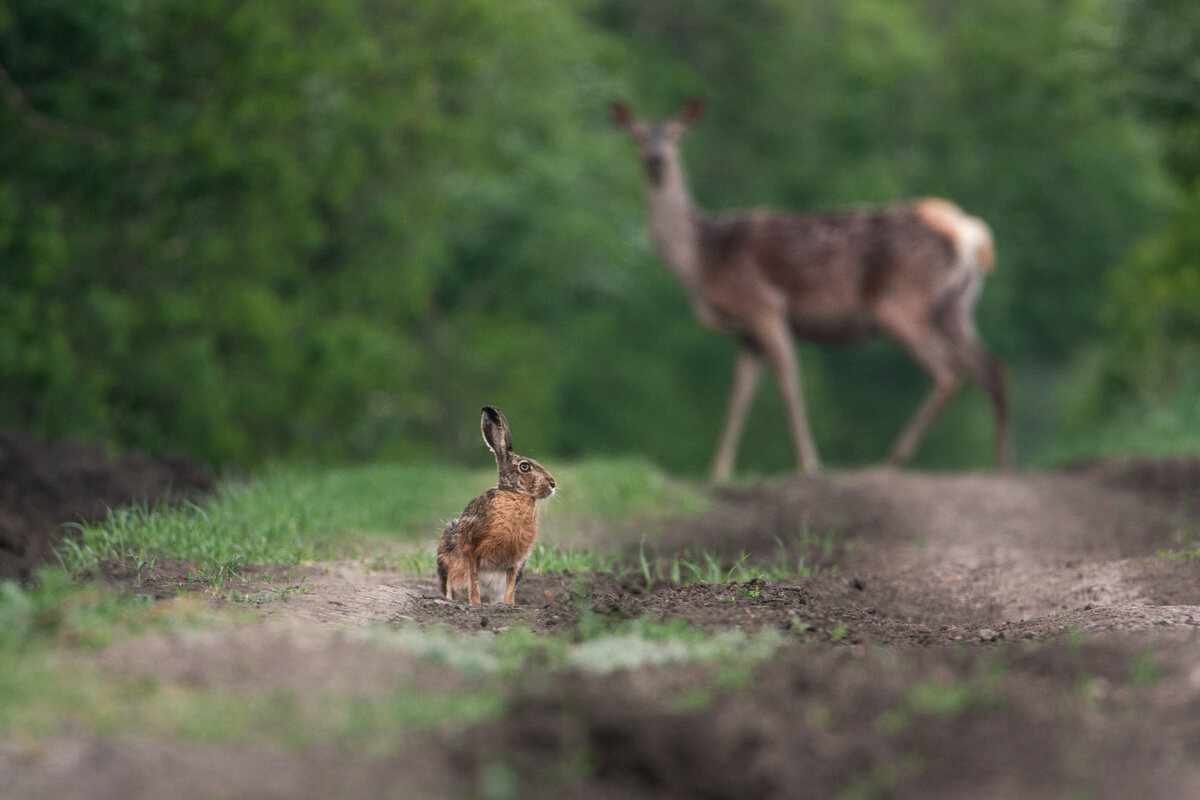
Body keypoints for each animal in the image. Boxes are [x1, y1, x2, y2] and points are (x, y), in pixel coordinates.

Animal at [614, 97, 1008, 479]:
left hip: (899, 303)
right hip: (955, 308)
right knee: (990, 366)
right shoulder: (747, 334)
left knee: (949, 370)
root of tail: (969, 234)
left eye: (677, 136)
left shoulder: (763, 306)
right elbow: (738, 396)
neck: (701, 258)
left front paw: (809, 465)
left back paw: (892, 460)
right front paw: (719, 470)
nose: (656, 160)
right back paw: (998, 464)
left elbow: (789, 384)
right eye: (637, 136)